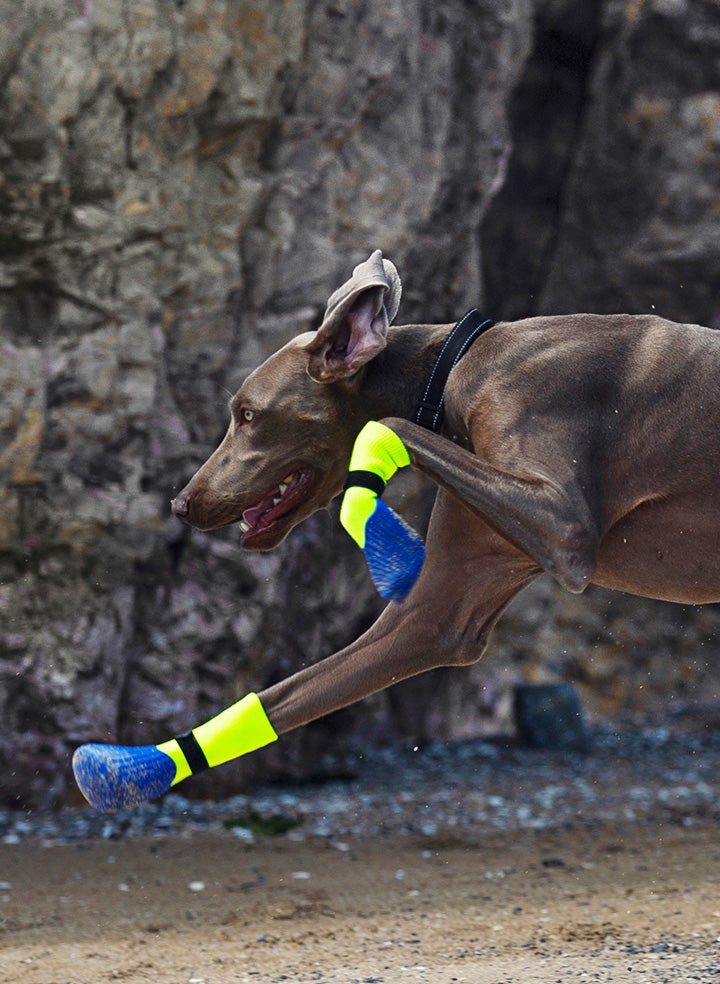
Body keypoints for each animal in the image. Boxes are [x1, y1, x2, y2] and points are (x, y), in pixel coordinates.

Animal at [171, 249, 720, 739]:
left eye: (248, 415)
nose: (180, 504)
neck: (457, 365)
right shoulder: (440, 617)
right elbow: (283, 696)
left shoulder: (562, 525)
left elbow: (389, 426)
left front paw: (381, 531)